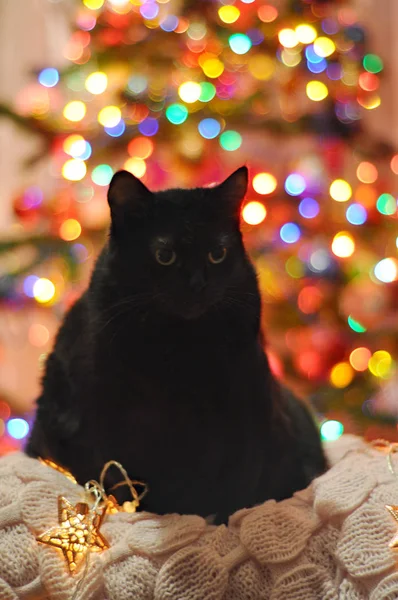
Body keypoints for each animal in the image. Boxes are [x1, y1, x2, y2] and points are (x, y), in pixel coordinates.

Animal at [27, 168, 326, 520]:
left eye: (217, 254)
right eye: (164, 256)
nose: (198, 284)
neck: (179, 349)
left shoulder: (246, 410)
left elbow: (235, 489)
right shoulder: (105, 417)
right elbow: (117, 476)